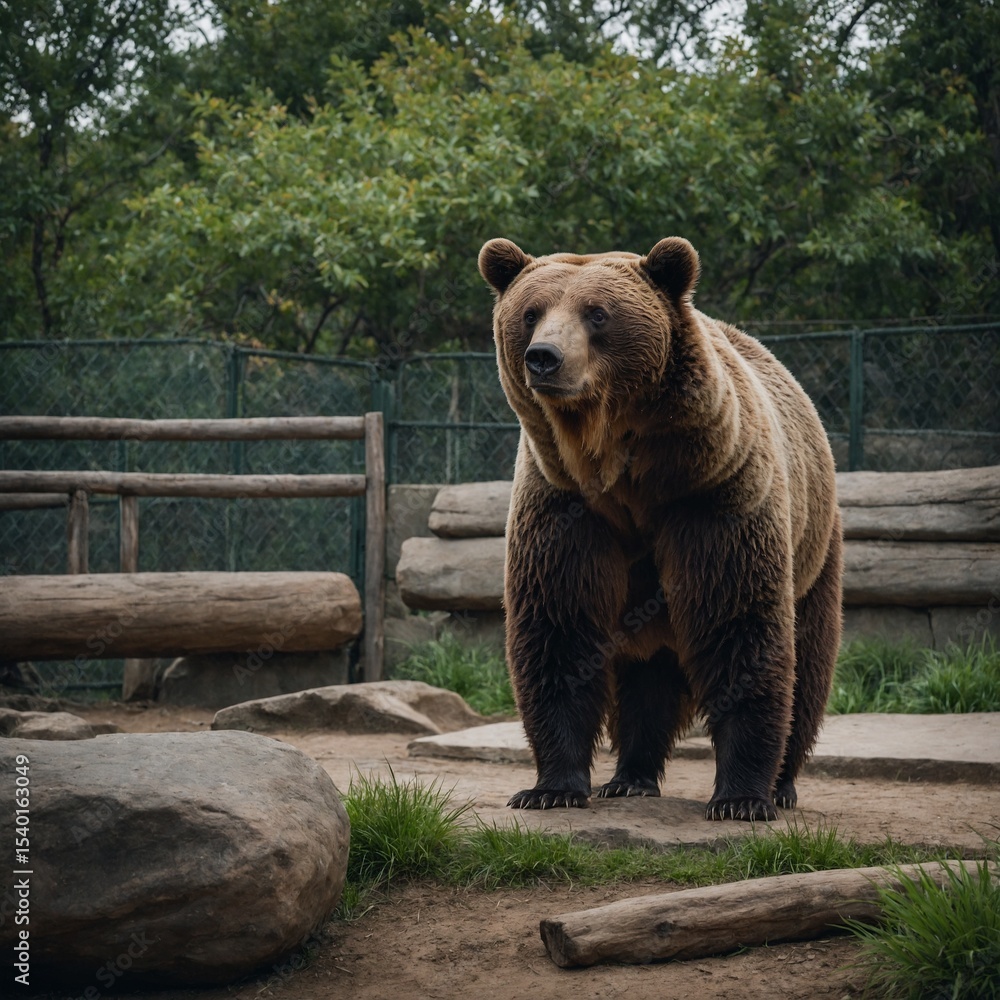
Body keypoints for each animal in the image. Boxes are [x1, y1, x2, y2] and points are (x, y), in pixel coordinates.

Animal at [478, 235, 843, 821]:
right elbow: (561, 624)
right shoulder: (567, 505)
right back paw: (630, 776)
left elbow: (739, 624)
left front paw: (740, 797)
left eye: (597, 313)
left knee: (808, 663)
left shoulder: (713, 495)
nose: (544, 358)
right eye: (530, 313)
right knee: (646, 679)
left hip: (816, 545)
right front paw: (550, 787)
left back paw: (782, 785)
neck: (625, 469)